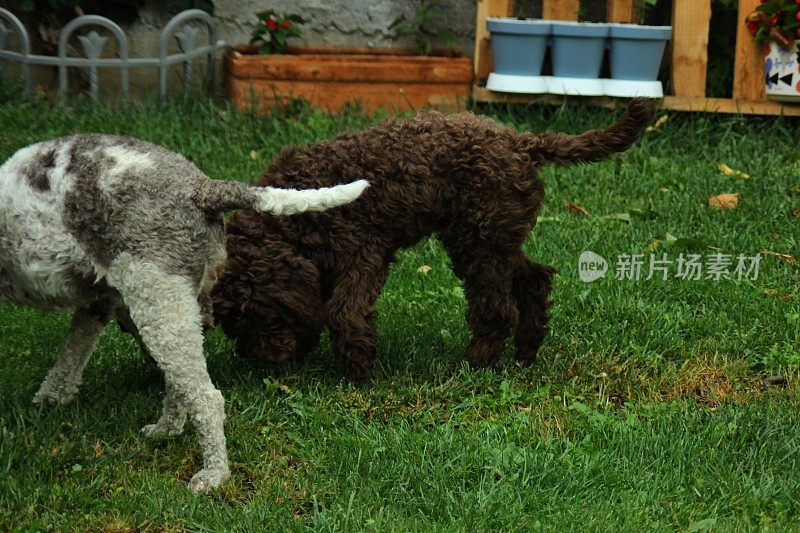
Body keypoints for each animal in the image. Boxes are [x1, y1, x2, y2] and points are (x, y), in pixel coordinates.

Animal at [0, 135, 368, 492]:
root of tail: (201, 188)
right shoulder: (98, 301)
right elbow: (72, 355)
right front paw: (49, 399)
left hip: (158, 299)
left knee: (206, 398)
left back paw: (214, 475)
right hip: (175, 305)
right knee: (181, 383)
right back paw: (166, 430)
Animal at [212, 97, 656, 380]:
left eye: (256, 315)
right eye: (233, 326)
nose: (258, 363)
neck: (287, 222)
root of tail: (524, 142)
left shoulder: (364, 252)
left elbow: (343, 310)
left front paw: (358, 371)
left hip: (478, 243)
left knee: (496, 310)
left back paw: (472, 366)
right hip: (492, 237)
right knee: (535, 277)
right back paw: (526, 352)